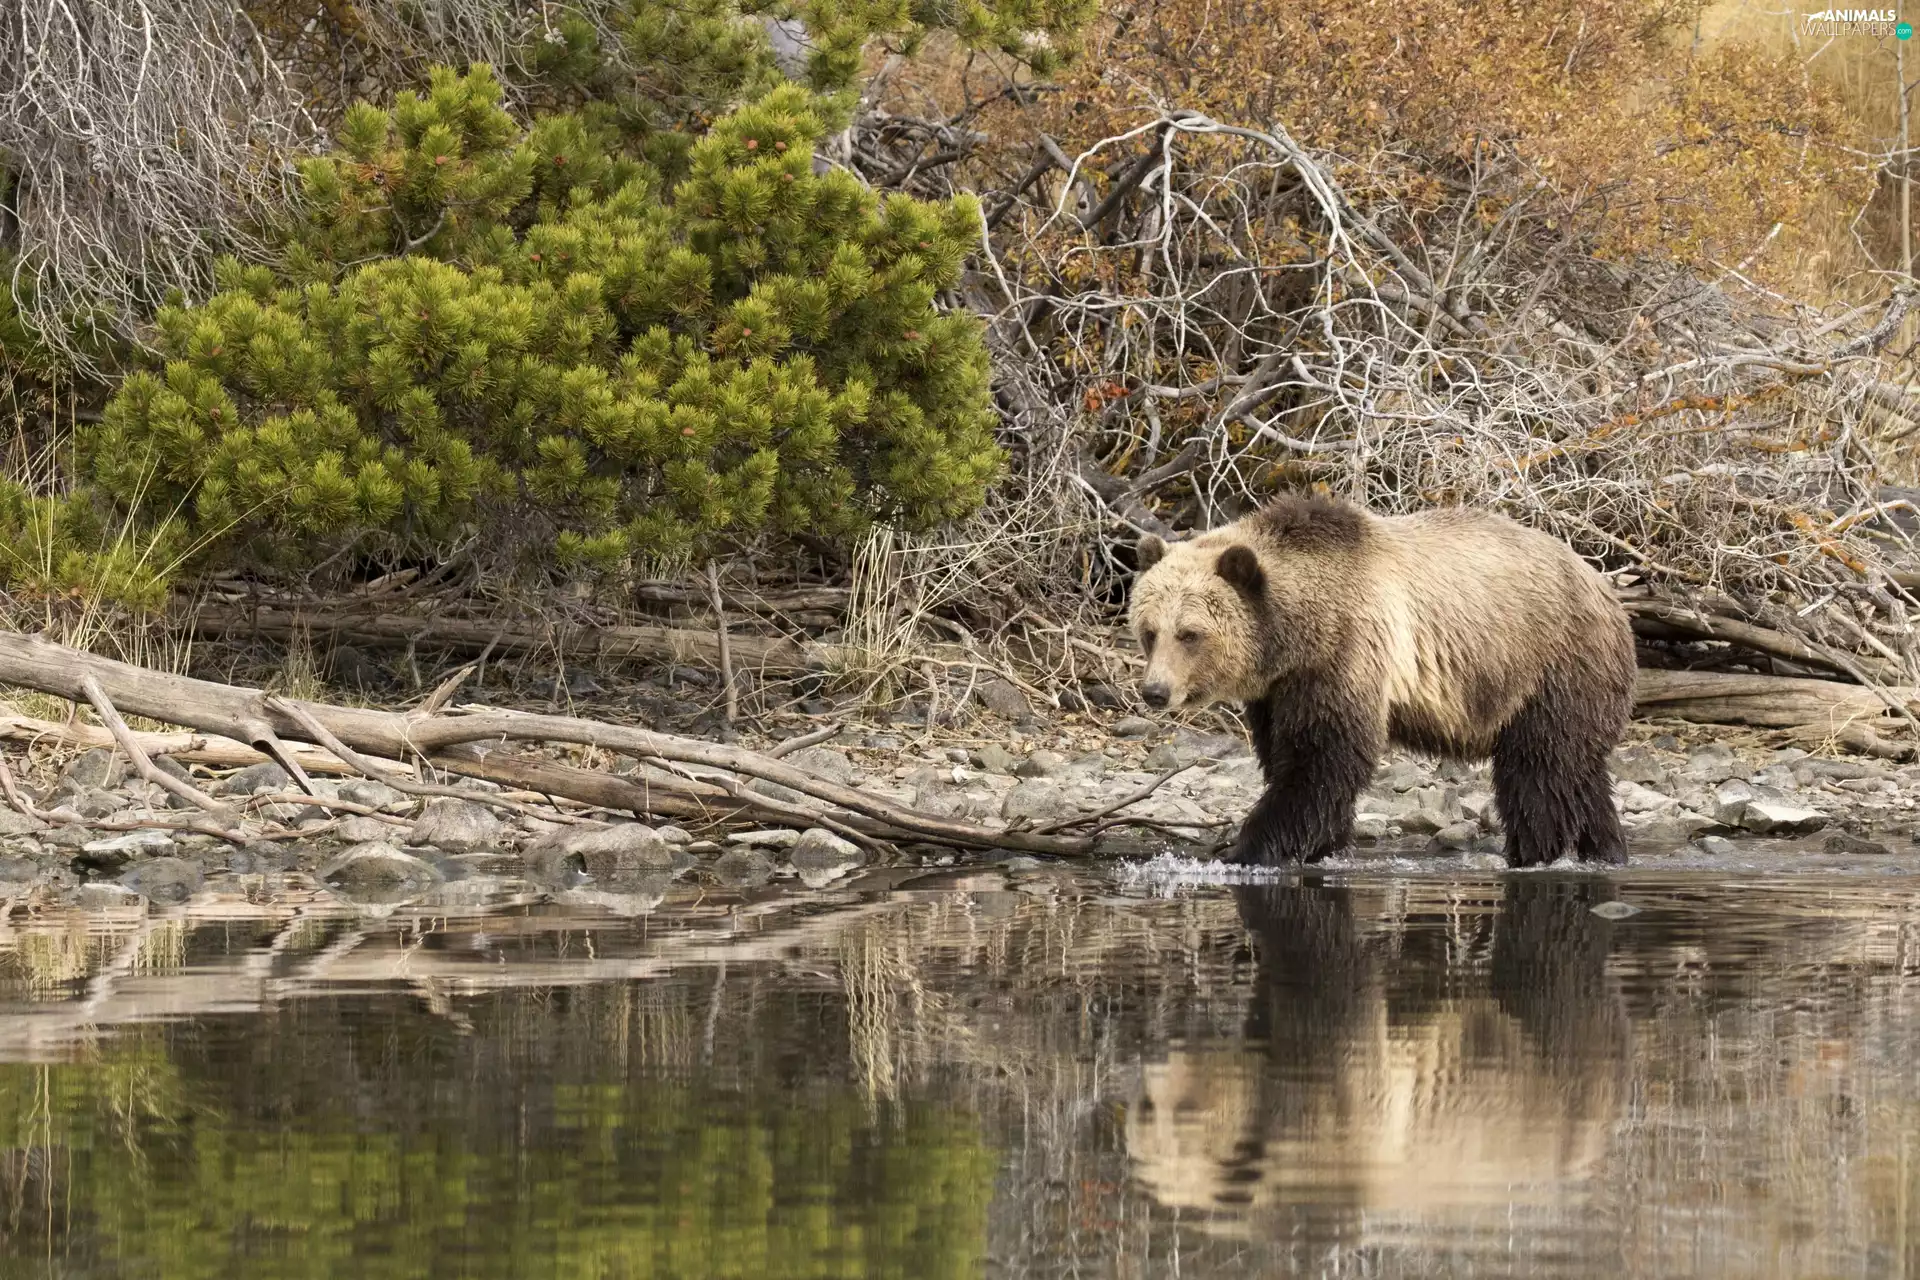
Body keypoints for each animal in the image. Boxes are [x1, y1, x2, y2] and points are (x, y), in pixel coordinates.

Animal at [1127, 494, 1635, 867]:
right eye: (1149, 631)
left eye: (1190, 634)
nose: (1155, 692)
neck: (1297, 633)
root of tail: (1605, 587)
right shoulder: (1279, 690)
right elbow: (1286, 755)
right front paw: (1319, 844)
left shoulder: (1346, 653)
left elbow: (1321, 760)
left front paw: (1247, 848)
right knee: (1581, 772)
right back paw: (1606, 849)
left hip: (1550, 666)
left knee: (1539, 770)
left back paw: (1534, 852)